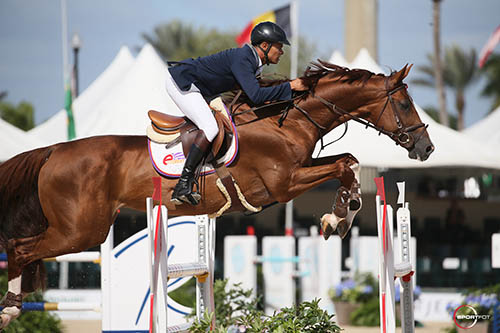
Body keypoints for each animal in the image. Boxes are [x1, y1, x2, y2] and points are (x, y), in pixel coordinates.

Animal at [0, 60, 432, 326]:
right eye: (404, 103)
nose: (426, 149)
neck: (285, 119)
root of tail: (53, 151)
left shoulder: (300, 170)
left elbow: (349, 160)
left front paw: (341, 213)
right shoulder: (285, 184)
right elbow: (345, 165)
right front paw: (338, 215)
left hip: (82, 228)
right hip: (80, 230)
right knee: (20, 248)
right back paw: (10, 309)